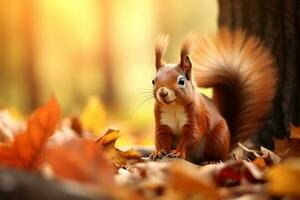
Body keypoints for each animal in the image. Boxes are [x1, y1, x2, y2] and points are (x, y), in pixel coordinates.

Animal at [149, 28, 278, 162]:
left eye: (181, 81)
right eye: (153, 81)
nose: (162, 92)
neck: (174, 107)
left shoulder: (196, 115)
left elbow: (191, 136)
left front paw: (178, 153)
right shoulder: (162, 122)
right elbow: (162, 137)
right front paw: (159, 152)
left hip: (217, 139)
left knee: (216, 155)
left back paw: (212, 160)